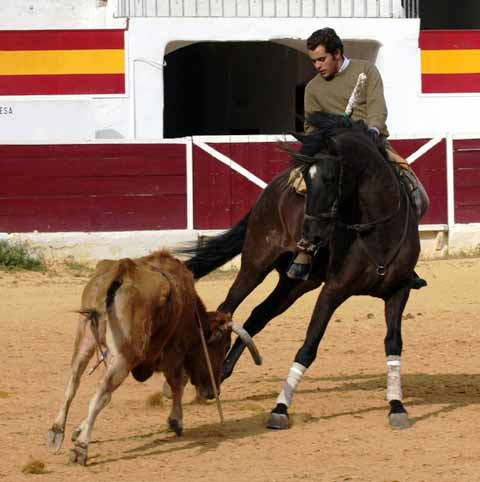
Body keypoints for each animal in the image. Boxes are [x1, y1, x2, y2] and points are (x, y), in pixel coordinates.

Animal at [47, 249, 260, 464]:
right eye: (225, 346)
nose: (212, 392)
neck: (192, 315)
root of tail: (122, 270)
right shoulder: (174, 353)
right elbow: (177, 384)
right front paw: (176, 421)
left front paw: (78, 429)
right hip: (125, 356)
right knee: (101, 396)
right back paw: (81, 448)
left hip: (85, 339)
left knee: (73, 382)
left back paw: (57, 431)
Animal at [182, 114, 422, 430]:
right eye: (307, 179)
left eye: (331, 179)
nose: (309, 237)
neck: (376, 232)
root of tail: (271, 190)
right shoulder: (333, 291)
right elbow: (308, 346)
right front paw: (280, 409)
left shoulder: (399, 290)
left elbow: (394, 344)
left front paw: (396, 405)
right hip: (256, 262)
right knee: (228, 307)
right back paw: (207, 377)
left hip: (296, 283)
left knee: (258, 315)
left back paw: (221, 373)